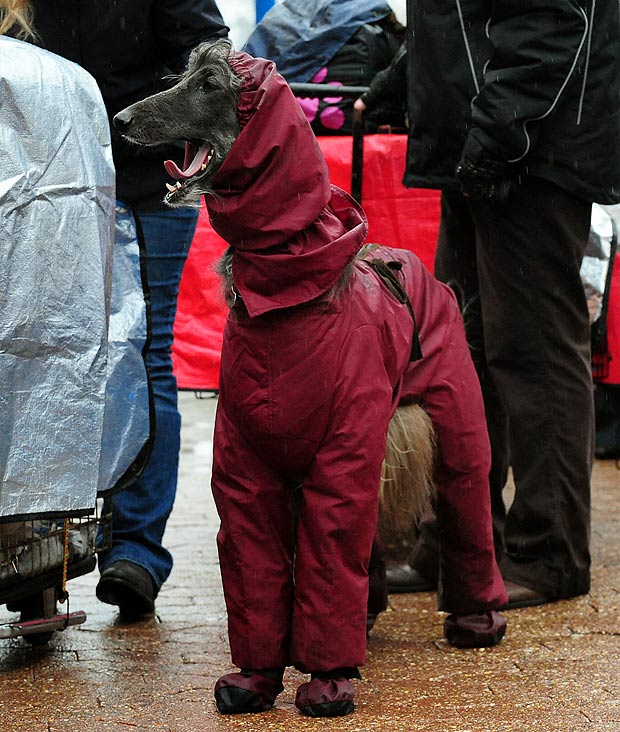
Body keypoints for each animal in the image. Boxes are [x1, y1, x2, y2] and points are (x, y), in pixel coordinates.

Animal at [114, 38, 506, 716]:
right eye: (181, 74)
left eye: (209, 83)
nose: (122, 120)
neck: (286, 296)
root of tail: (408, 260)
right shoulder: (247, 459)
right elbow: (256, 558)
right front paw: (255, 678)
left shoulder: (343, 450)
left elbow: (331, 546)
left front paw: (328, 680)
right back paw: (370, 610)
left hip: (455, 420)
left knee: (465, 498)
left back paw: (478, 621)